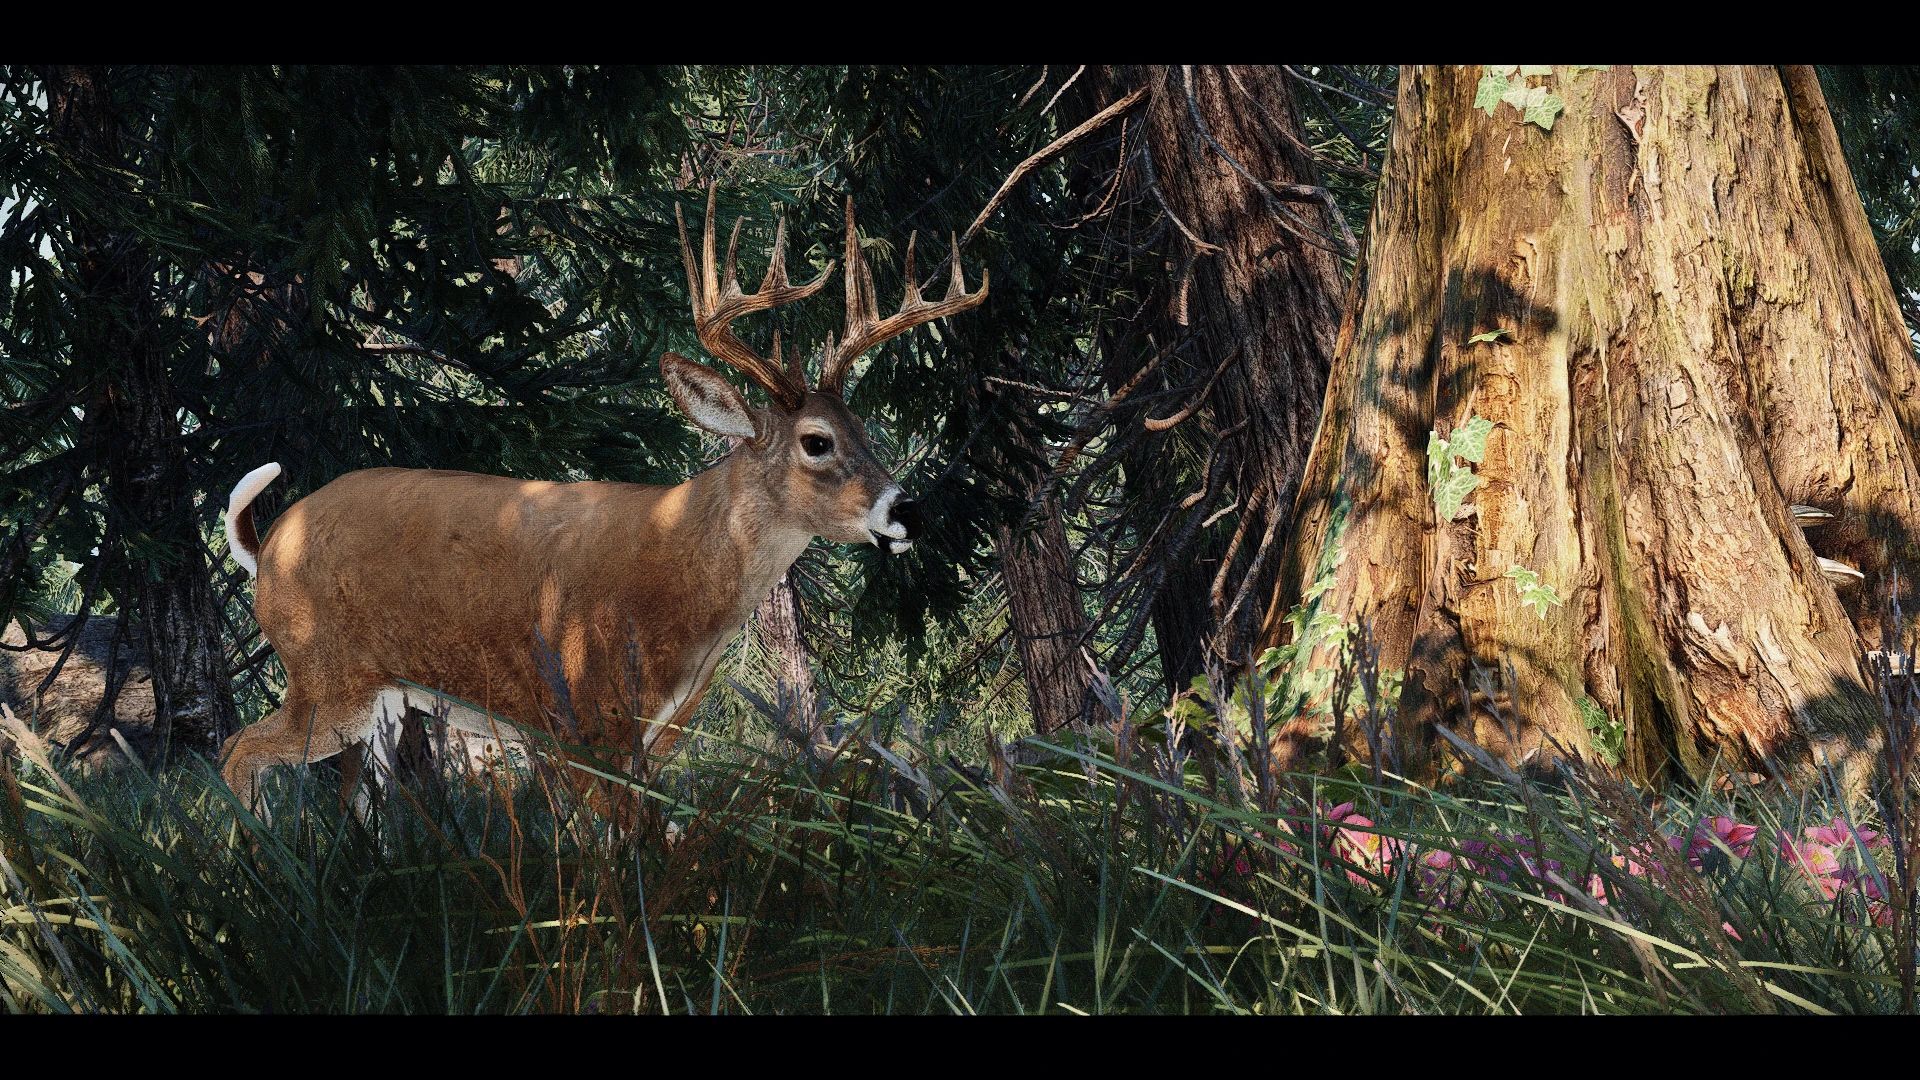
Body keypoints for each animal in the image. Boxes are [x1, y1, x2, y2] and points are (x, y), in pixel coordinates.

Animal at [217, 188, 987, 816]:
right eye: (817, 441)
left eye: (867, 428)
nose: (908, 512)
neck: (676, 566)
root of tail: (267, 541)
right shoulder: (587, 715)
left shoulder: (659, 728)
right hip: (325, 675)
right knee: (236, 753)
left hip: (380, 701)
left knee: (356, 793)